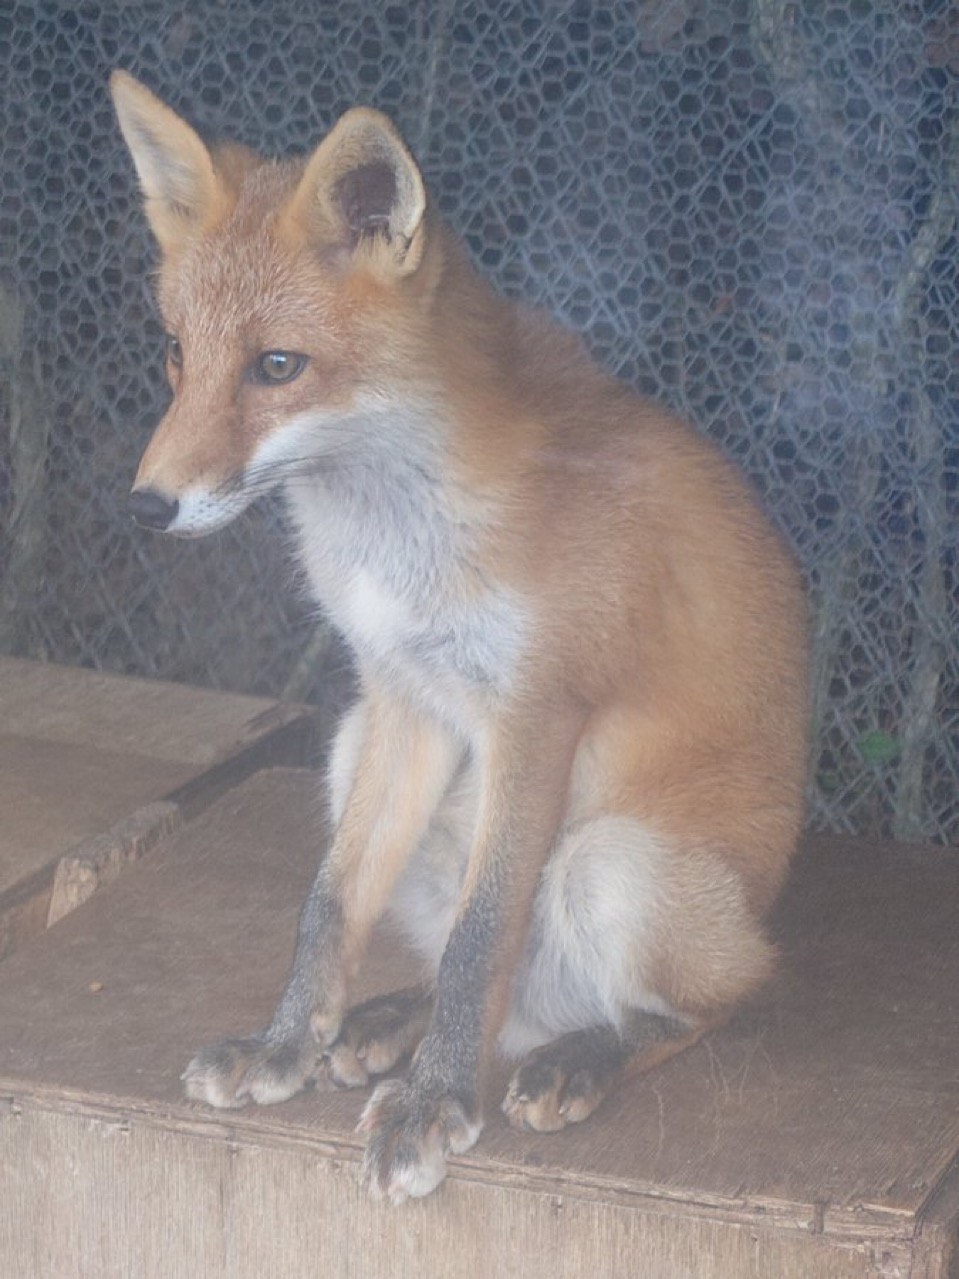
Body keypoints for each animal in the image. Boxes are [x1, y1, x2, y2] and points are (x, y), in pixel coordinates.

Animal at [110, 70, 809, 1204]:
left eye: (276, 365)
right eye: (177, 352)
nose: (146, 505)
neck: (400, 544)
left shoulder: (536, 710)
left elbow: (482, 935)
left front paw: (436, 1103)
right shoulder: (399, 692)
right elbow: (332, 903)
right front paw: (285, 1043)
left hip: (615, 862)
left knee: (693, 1007)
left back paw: (577, 1057)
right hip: (350, 747)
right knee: (479, 982)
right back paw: (391, 1023)